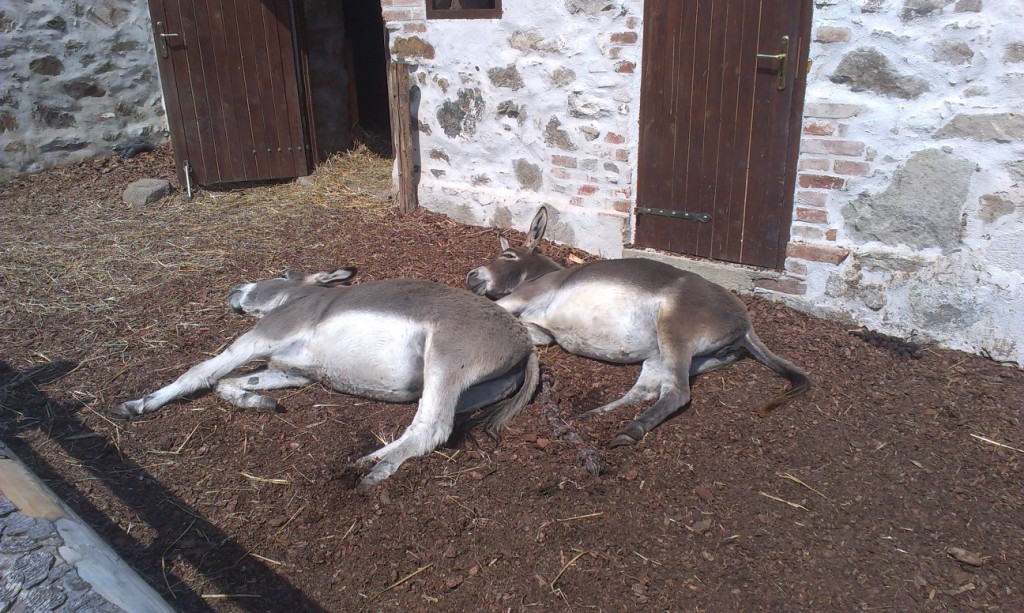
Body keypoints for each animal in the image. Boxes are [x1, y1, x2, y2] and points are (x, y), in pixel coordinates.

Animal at [112, 268, 539, 489]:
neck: (297, 299)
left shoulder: (265, 335)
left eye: (279, 273)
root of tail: (525, 343)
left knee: (433, 427)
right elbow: (228, 384)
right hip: (469, 389)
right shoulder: (293, 371)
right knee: (428, 423)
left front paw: (138, 405)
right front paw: (261, 403)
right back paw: (367, 459)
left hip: (446, 359)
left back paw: (372, 473)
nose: (234, 288)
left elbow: (202, 373)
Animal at [465, 207, 809, 447]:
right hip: (676, 356)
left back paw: (630, 431)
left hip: (674, 331)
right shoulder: (541, 331)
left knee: (677, 392)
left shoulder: (524, 298)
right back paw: (594, 415)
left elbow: (499, 308)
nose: (471, 275)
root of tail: (746, 322)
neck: (541, 275)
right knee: (648, 389)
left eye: (508, 254)